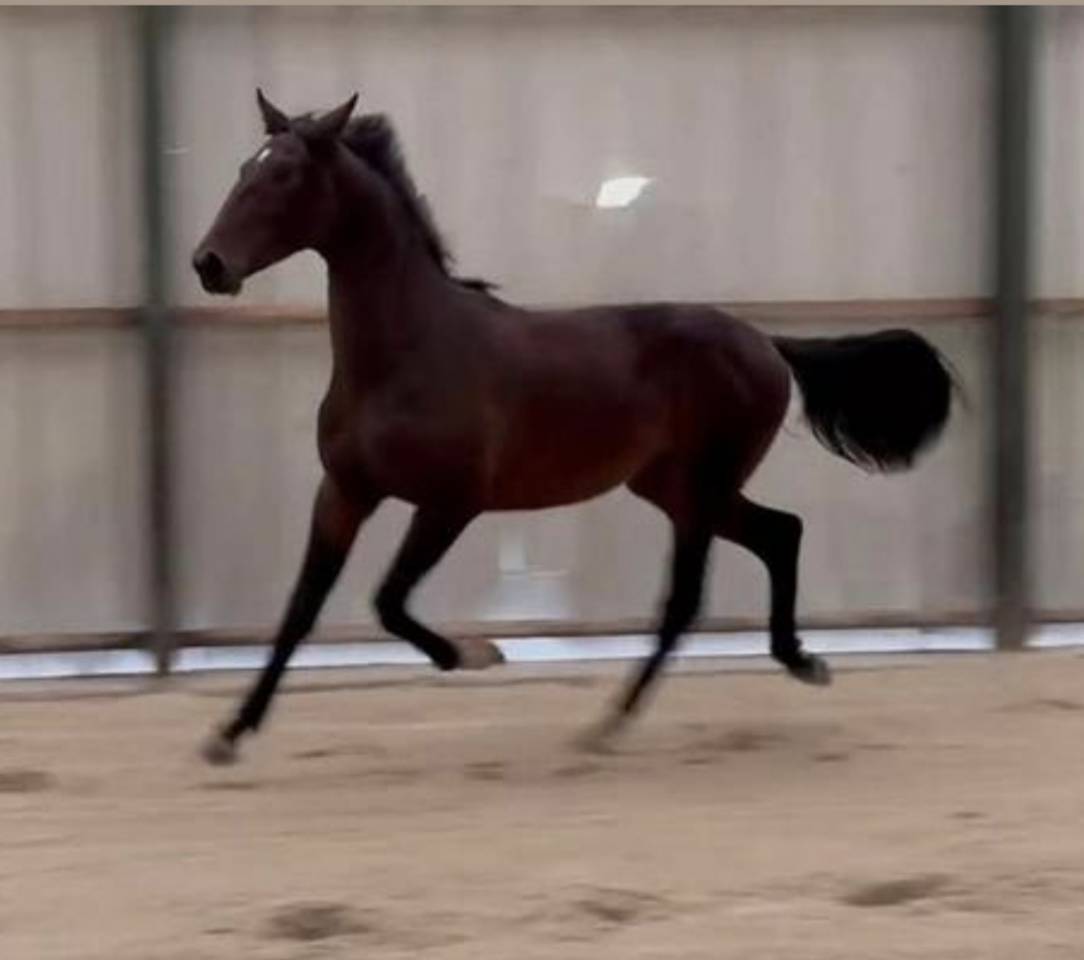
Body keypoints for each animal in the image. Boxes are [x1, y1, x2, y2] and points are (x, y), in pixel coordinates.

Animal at [192, 91, 954, 765]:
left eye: (284, 175)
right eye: (242, 168)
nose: (208, 264)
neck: (407, 352)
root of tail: (765, 343)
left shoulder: (450, 503)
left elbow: (389, 600)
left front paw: (474, 653)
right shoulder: (345, 492)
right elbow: (301, 609)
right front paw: (228, 735)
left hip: (702, 488)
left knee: (690, 594)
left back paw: (610, 725)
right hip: (674, 487)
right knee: (779, 534)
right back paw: (796, 661)